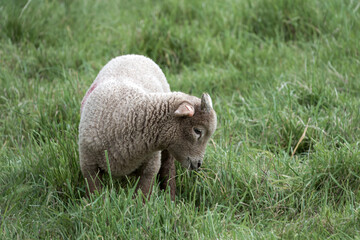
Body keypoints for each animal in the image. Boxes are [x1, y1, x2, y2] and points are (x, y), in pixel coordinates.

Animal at [78, 54, 217, 199]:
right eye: (197, 131)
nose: (198, 164)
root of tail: (134, 55)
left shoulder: (150, 168)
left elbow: (142, 196)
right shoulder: (89, 166)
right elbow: (94, 194)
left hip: (167, 151)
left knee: (168, 170)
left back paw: (170, 198)